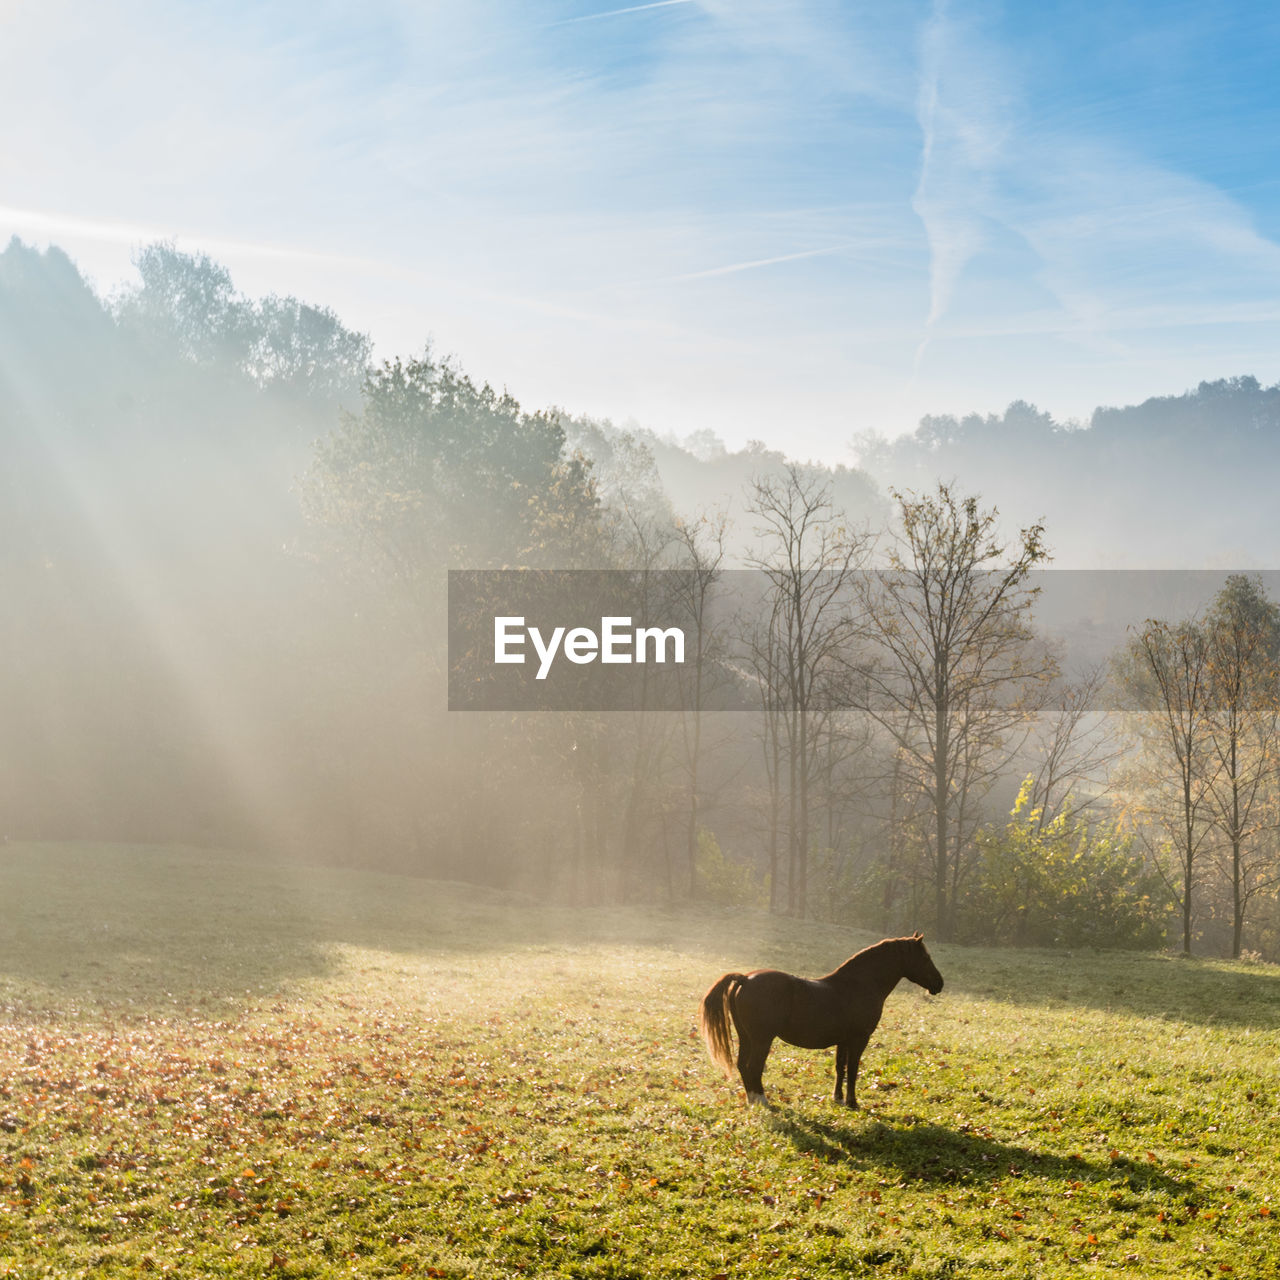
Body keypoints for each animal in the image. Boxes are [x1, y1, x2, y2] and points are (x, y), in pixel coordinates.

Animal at [701, 931, 942, 1111]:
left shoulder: (843, 1041)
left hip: (746, 1037)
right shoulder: (859, 1039)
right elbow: (852, 1070)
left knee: (743, 1065)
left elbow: (840, 1068)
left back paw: (753, 1101)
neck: (858, 985)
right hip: (762, 1040)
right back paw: (762, 1101)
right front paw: (853, 1102)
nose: (939, 984)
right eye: (925, 958)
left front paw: (838, 1098)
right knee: (753, 1067)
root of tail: (745, 978)